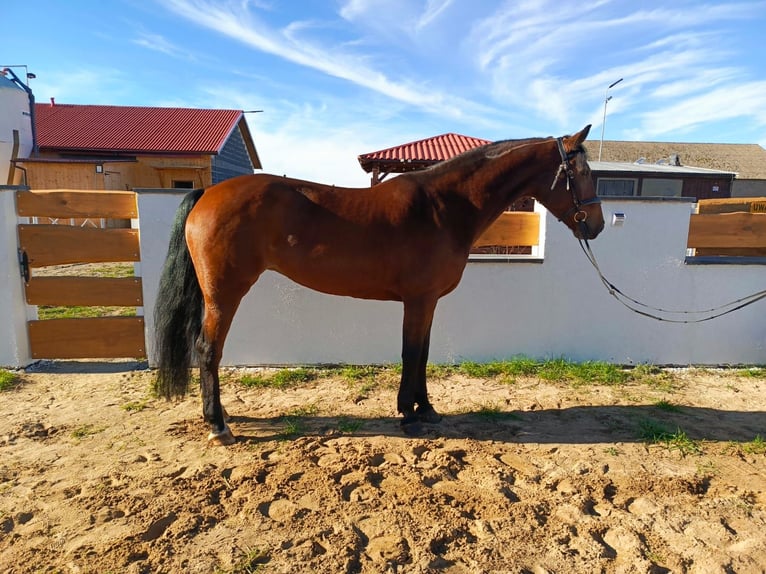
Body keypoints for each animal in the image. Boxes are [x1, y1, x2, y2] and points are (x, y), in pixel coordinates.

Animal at [153, 126, 604, 448]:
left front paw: (426, 409)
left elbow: (422, 354)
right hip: (224, 294)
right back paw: (219, 426)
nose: (596, 225)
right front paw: (409, 413)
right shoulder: (418, 301)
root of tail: (208, 192)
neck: (443, 206)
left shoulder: (427, 302)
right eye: (581, 173)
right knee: (208, 351)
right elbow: (411, 353)